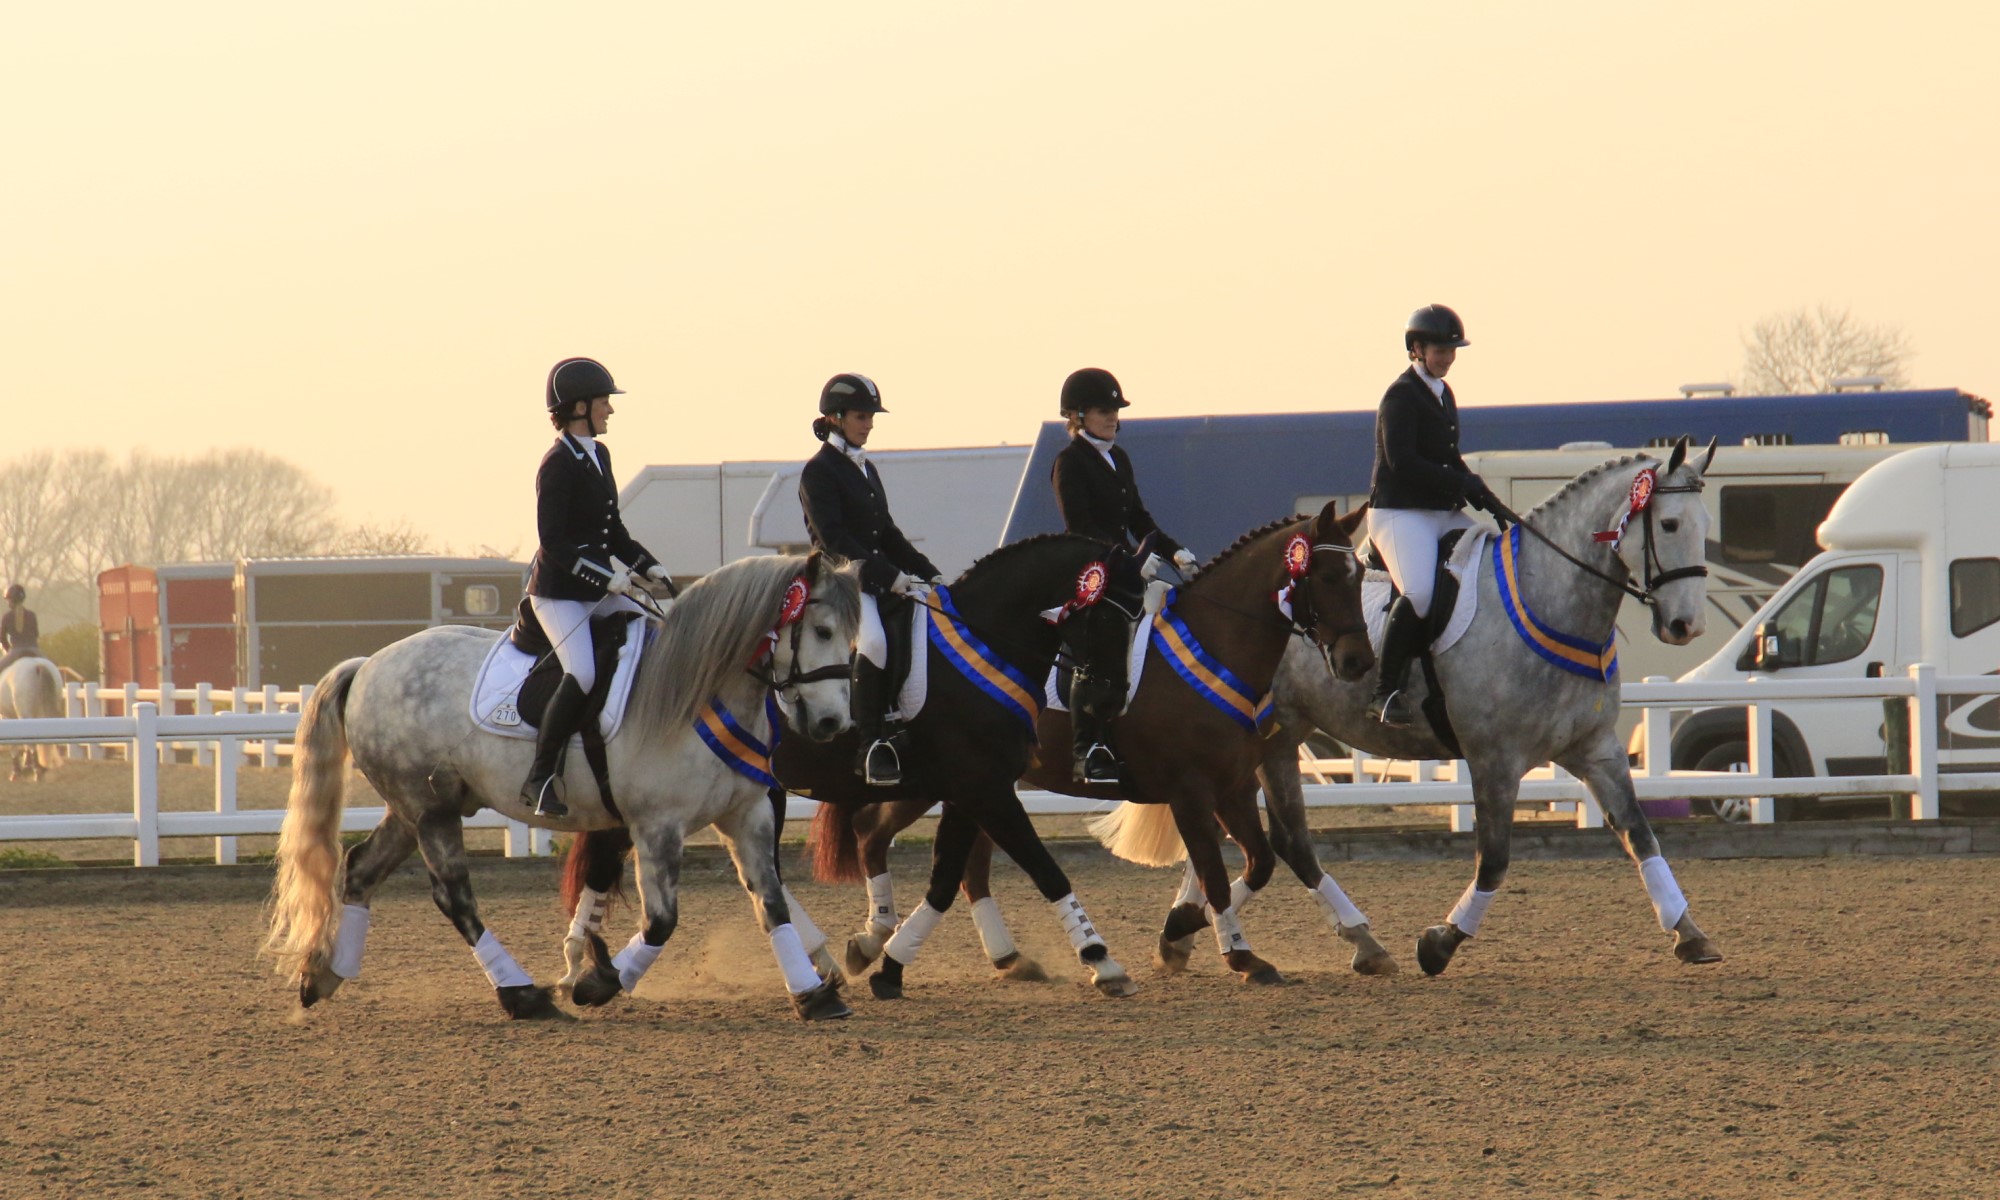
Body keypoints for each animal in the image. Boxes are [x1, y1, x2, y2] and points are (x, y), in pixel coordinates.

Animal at [0, 652, 67, 784]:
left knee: (32, 743)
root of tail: (37, 665)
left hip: (25, 714)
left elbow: (14, 745)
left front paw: (16, 772)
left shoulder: (8, 717)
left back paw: (37, 771)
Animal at [266, 552, 860, 1020]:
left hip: (417, 807)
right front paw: (597, 982)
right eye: (822, 631)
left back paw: (326, 974)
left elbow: (772, 903)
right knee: (453, 896)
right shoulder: (657, 826)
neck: (698, 692)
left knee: (362, 868)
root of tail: (369, 665)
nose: (833, 723)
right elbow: (662, 921)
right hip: (430, 811)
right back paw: (521, 995)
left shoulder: (746, 815)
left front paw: (813, 995)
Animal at [1104, 438, 1728, 976]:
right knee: (1289, 843)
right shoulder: (1494, 759)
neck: (1547, 601)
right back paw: (1333, 937)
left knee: (1234, 843)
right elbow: (1494, 859)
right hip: (1273, 742)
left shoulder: (1596, 751)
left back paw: (1188, 930)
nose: (1685, 626)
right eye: (1669, 524)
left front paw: (1690, 932)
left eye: (1706, 528)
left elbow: (1640, 835)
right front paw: (1441, 943)